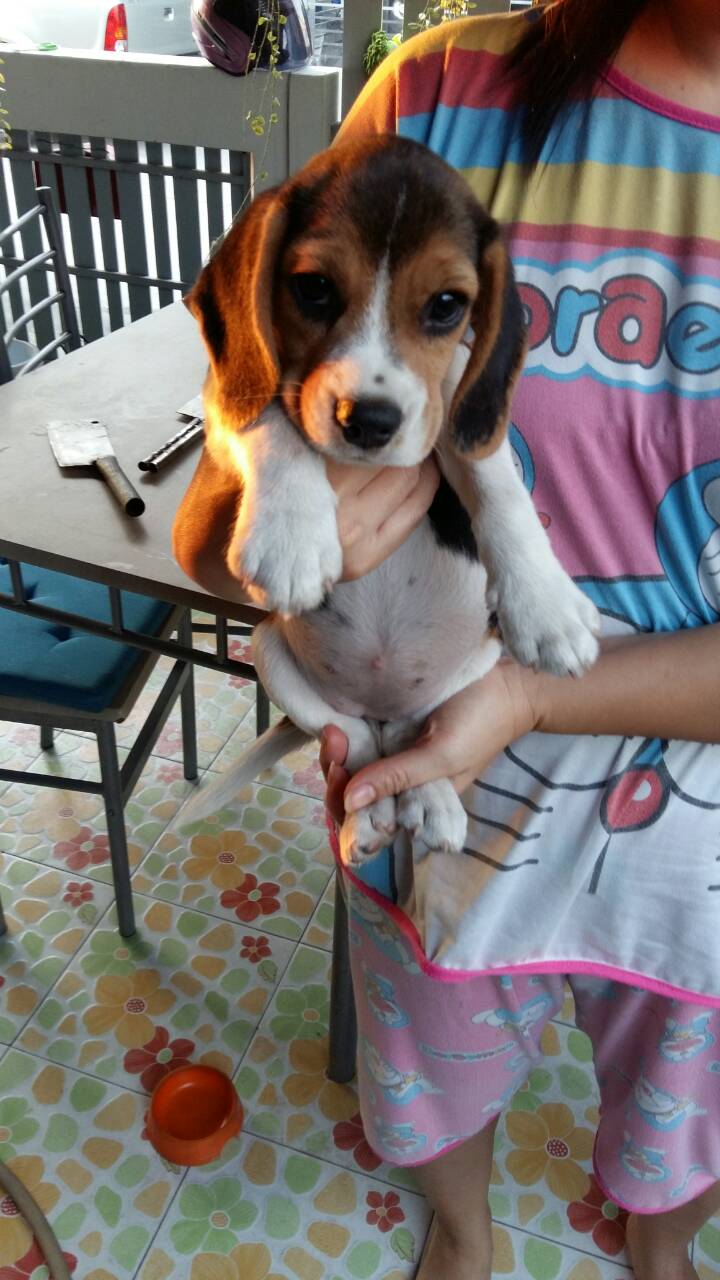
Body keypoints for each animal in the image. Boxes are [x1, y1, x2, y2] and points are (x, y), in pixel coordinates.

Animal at [174, 133, 600, 866]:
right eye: (313, 288)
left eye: (447, 305)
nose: (367, 422)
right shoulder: (228, 397)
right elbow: (272, 415)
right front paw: (290, 537)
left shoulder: (454, 402)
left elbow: (495, 482)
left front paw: (545, 607)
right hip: (272, 653)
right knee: (360, 746)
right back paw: (366, 815)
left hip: (470, 669)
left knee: (413, 741)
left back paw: (429, 799)